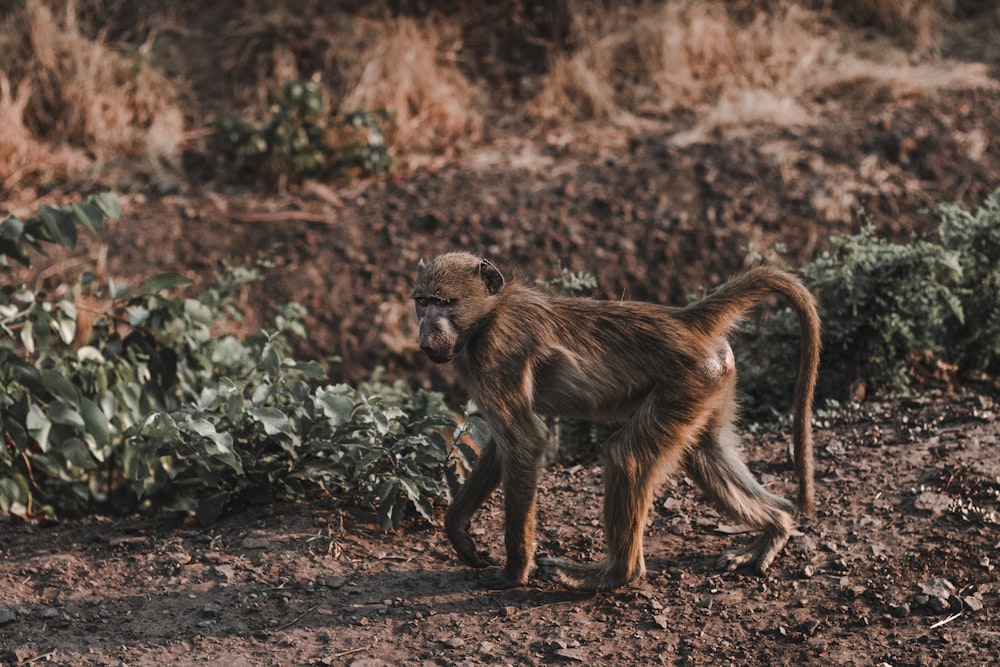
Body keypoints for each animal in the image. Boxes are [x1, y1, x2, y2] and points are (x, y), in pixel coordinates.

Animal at [408, 253, 820, 592]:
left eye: (445, 303)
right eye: (422, 302)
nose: (425, 340)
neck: (490, 312)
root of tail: (683, 320)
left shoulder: (496, 353)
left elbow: (526, 442)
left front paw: (515, 572)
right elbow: (503, 445)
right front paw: (458, 531)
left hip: (688, 380)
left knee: (628, 457)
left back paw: (609, 574)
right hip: (710, 380)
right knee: (705, 455)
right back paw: (776, 529)